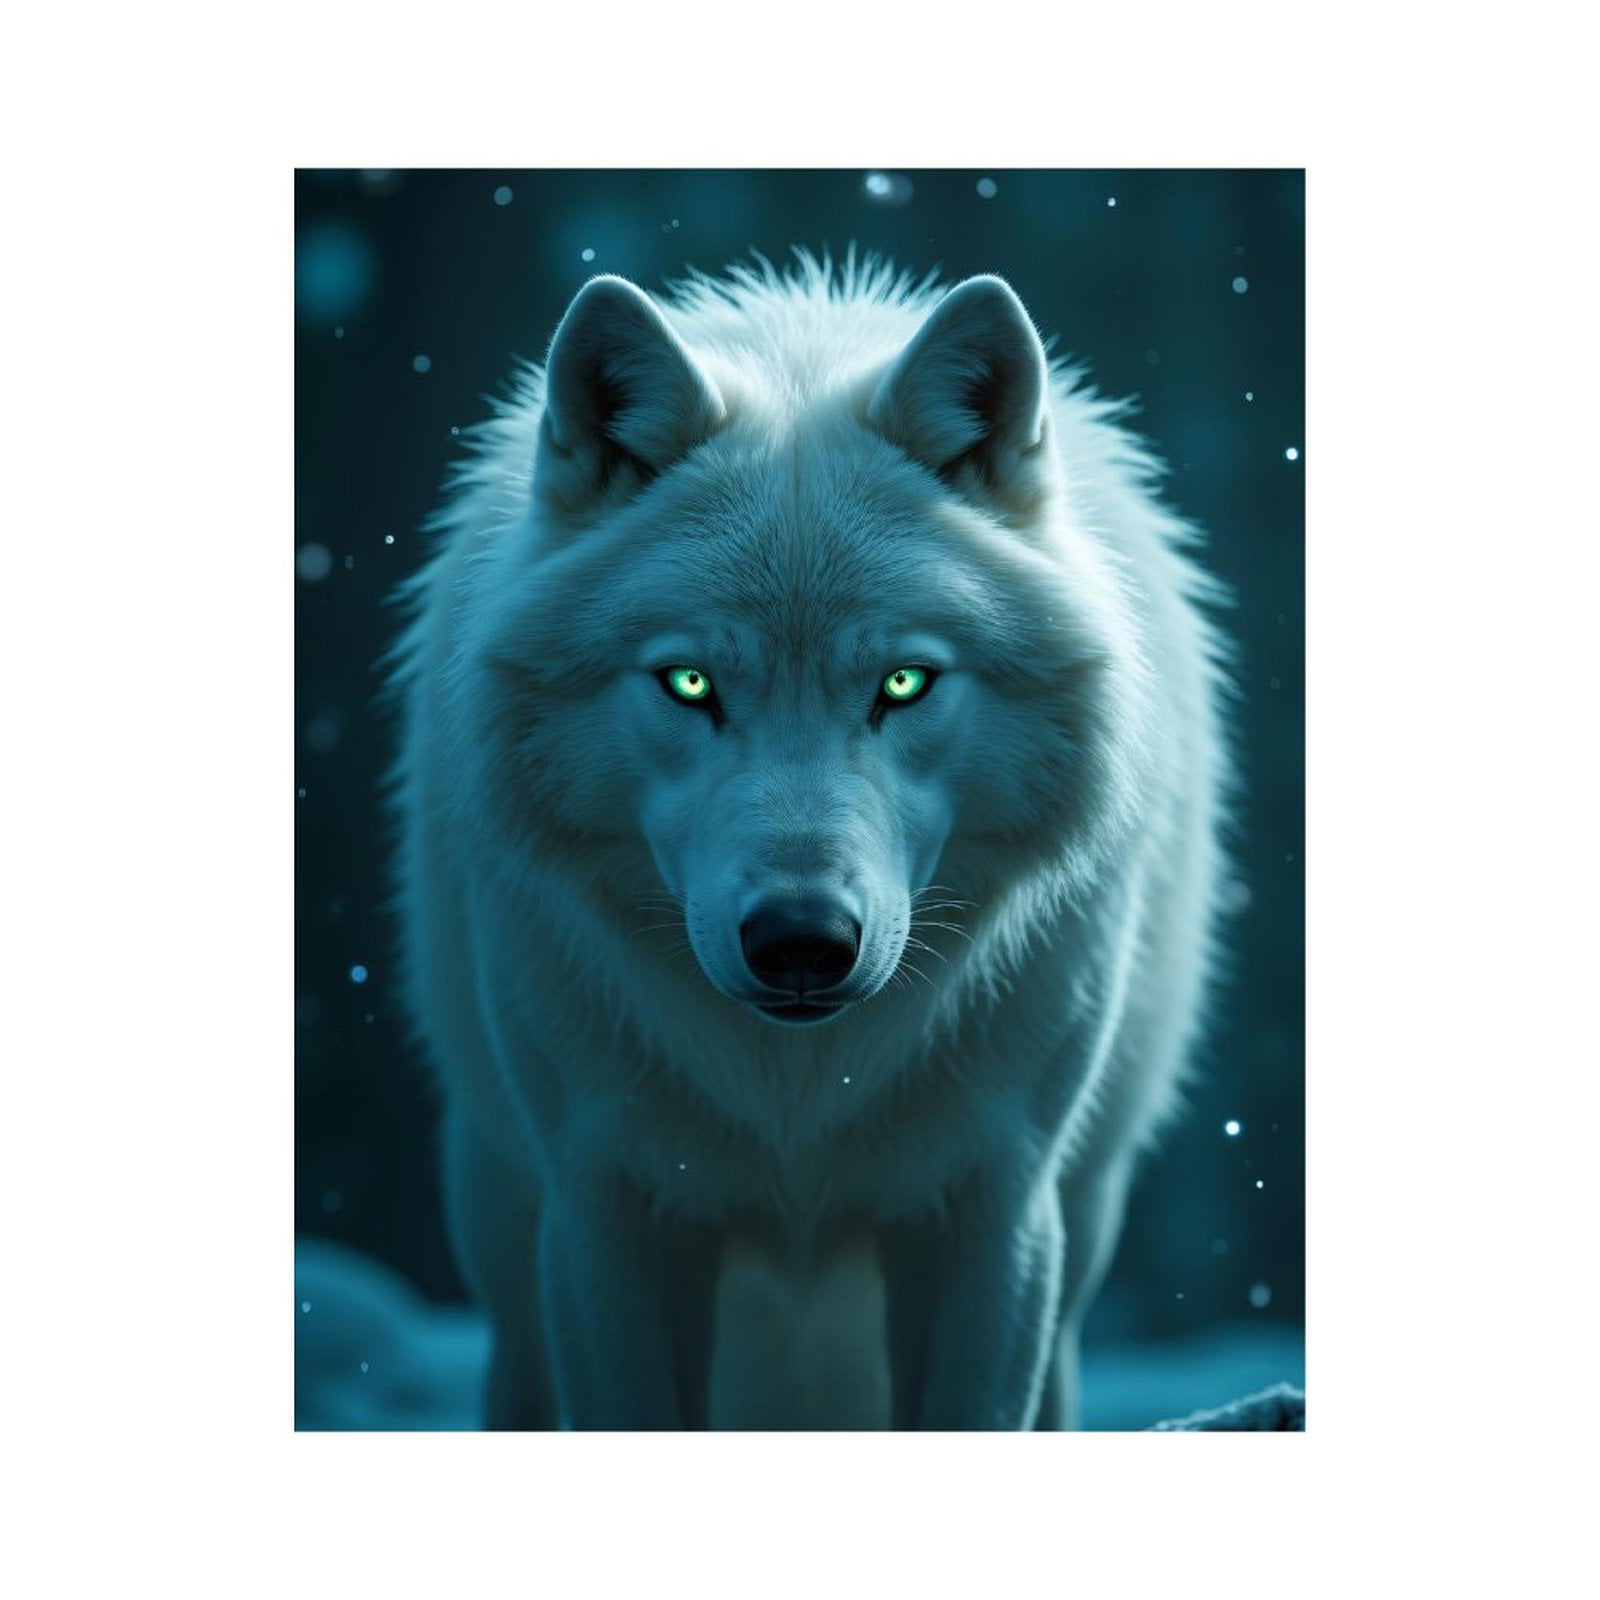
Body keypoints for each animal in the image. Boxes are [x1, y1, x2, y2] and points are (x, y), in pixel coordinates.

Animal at [386, 254, 1230, 1429]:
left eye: (904, 682)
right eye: (690, 683)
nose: (800, 942)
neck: (797, 1096)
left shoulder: (995, 1206)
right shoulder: (604, 1208)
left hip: (1083, 1222)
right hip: (503, 1223)